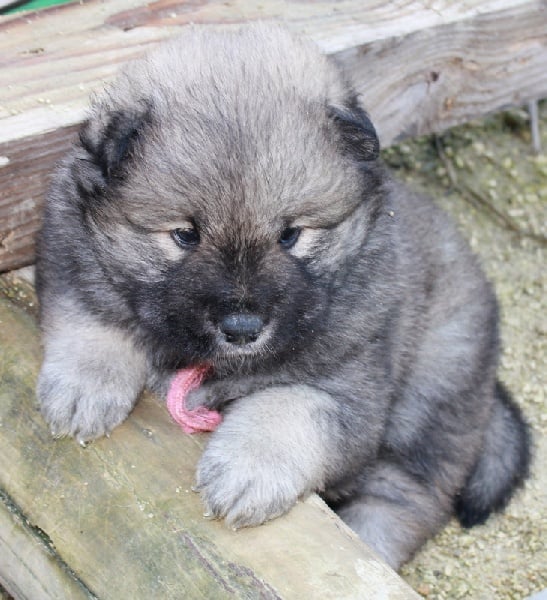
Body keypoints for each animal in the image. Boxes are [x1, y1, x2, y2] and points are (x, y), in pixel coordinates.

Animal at [36, 24, 530, 569]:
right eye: (185, 235)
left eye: (290, 235)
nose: (242, 330)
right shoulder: (71, 254)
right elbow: (94, 311)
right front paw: (86, 387)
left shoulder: (348, 387)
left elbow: (289, 407)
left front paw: (247, 470)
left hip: (432, 387)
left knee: (408, 493)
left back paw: (371, 543)